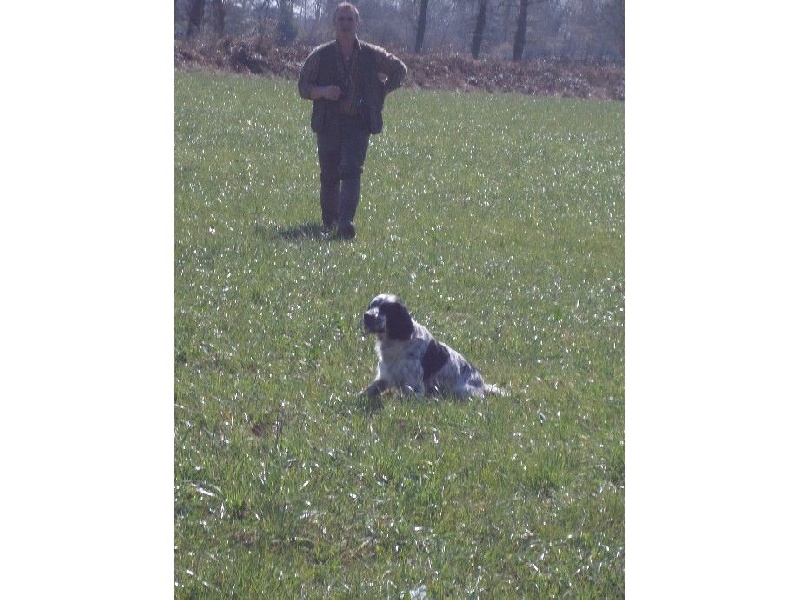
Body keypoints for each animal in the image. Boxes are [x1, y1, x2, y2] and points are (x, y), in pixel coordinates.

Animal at [361, 294, 502, 401]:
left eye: (385, 308)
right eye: (372, 305)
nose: (366, 315)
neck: (395, 340)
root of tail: (482, 384)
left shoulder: (414, 386)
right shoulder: (385, 375)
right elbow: (369, 389)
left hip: (461, 391)